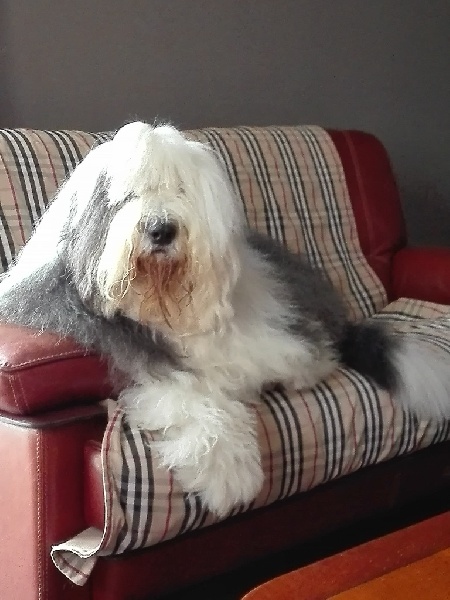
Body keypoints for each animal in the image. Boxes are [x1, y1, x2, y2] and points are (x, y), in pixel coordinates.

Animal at [0, 121, 449, 516]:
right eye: (129, 195)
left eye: (180, 190)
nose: (161, 230)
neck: (161, 302)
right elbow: (186, 396)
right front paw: (229, 473)